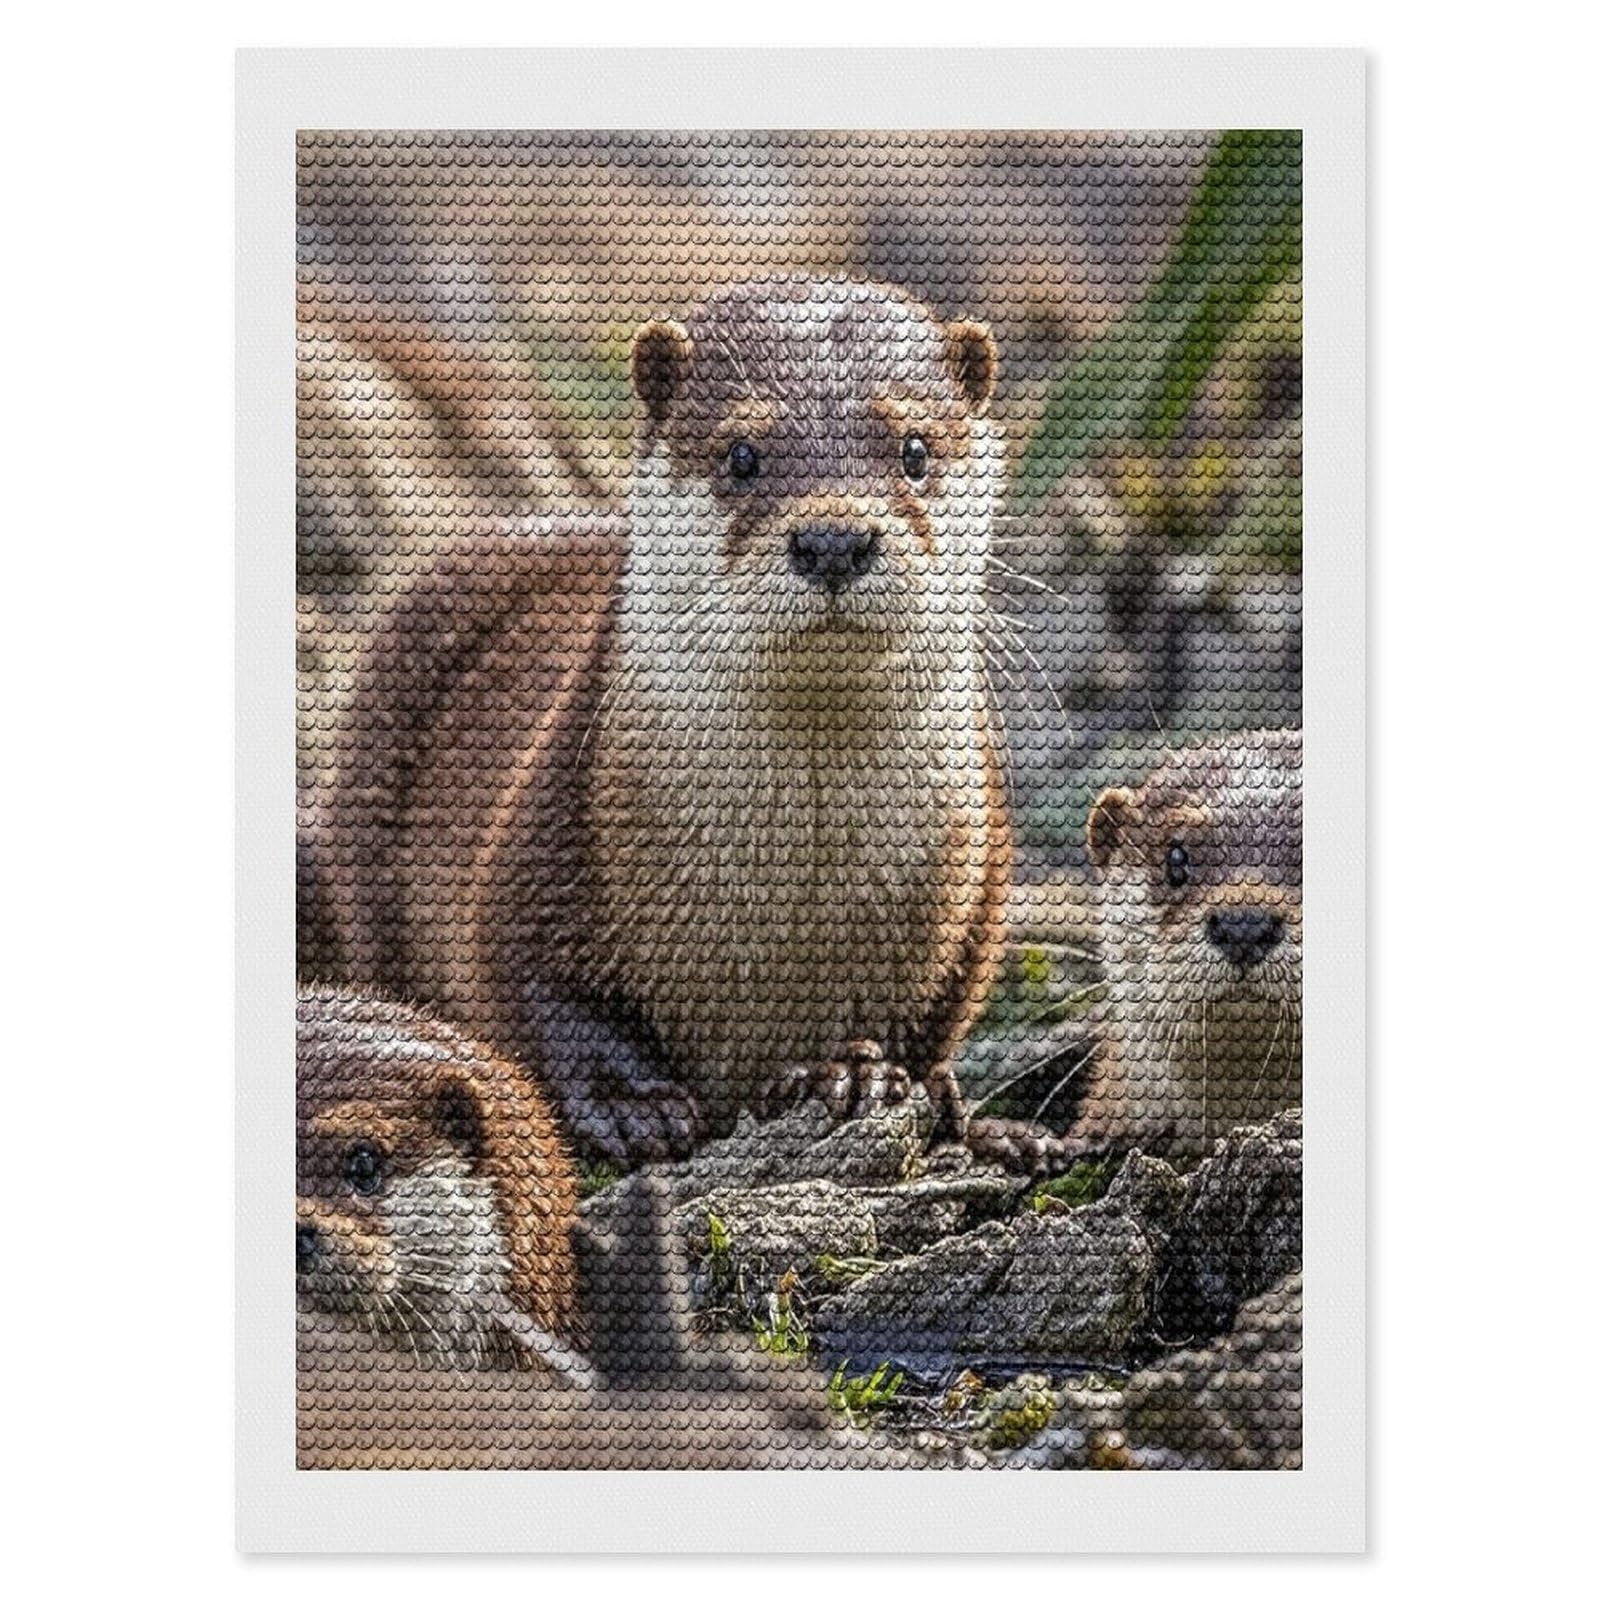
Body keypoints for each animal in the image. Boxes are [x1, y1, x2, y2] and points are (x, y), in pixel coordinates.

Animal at [307, 275, 1012, 1164]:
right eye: (741, 454)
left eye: (914, 450)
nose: (832, 539)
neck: (788, 897)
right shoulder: (550, 828)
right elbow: (534, 984)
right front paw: (629, 1101)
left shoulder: (973, 883)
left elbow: (926, 1026)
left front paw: (857, 1073)